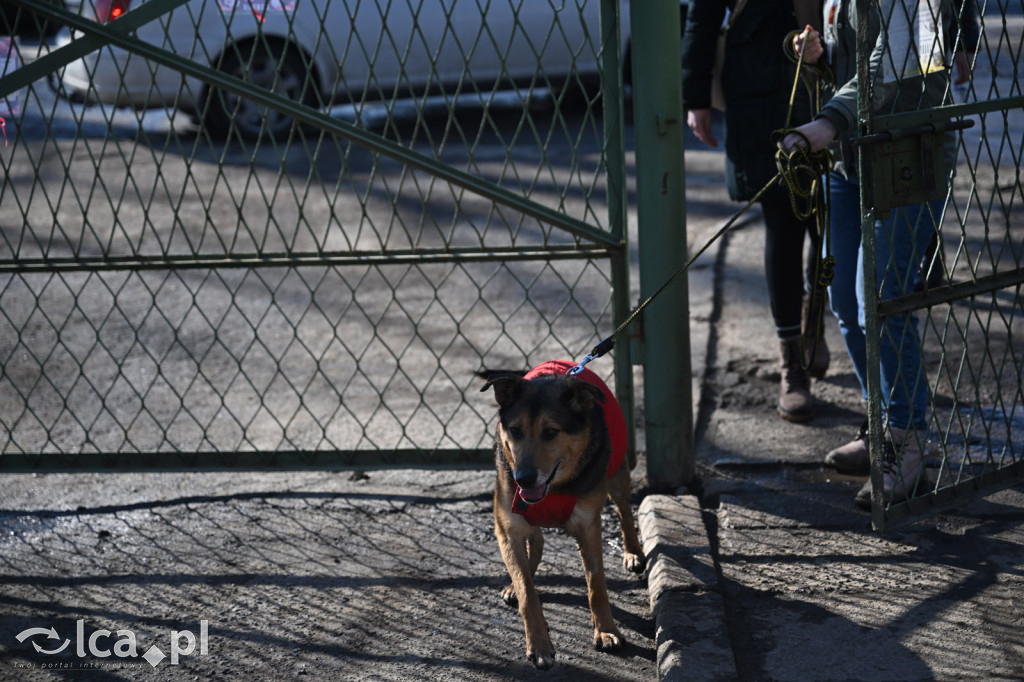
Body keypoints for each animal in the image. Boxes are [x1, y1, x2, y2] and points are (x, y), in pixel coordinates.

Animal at [481, 358, 643, 667]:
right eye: (515, 430)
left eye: (551, 432)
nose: (523, 479)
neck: (554, 489)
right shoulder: (507, 526)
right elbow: (527, 591)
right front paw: (540, 644)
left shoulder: (589, 525)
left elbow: (597, 585)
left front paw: (606, 631)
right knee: (536, 541)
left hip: (616, 475)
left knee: (625, 511)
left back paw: (633, 552)